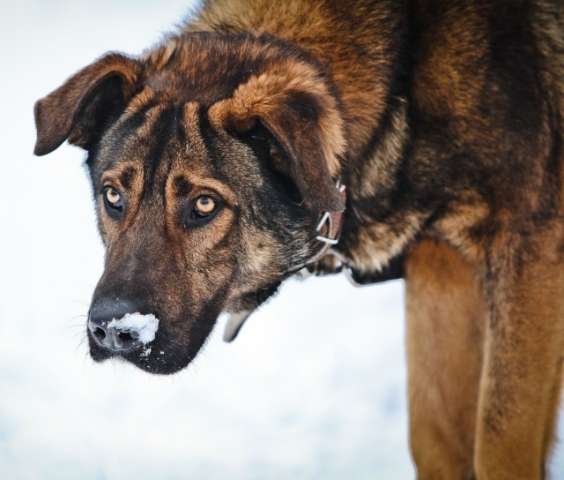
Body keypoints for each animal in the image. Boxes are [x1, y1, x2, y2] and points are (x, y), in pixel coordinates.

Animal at [34, 1, 564, 478]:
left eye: (204, 204)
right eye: (113, 195)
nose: (115, 331)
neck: (403, 84)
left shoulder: (530, 254)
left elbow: (498, 442)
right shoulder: (440, 265)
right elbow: (439, 441)